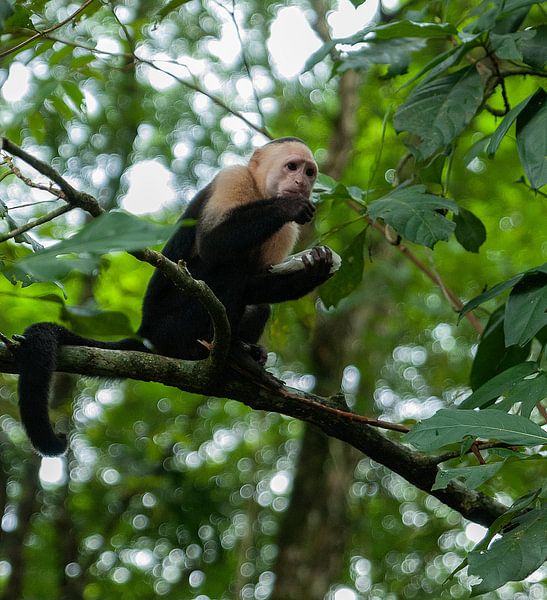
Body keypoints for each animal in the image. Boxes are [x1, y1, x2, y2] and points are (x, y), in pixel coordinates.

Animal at [16, 137, 334, 454]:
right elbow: (213, 245)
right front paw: (288, 206)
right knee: (230, 269)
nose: (300, 182)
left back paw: (241, 356)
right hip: (175, 326)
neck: (259, 191)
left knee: (258, 304)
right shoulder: (233, 179)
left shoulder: (287, 232)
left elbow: (258, 285)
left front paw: (315, 271)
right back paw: (232, 355)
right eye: (292, 167)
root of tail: (147, 332)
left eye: (309, 172)